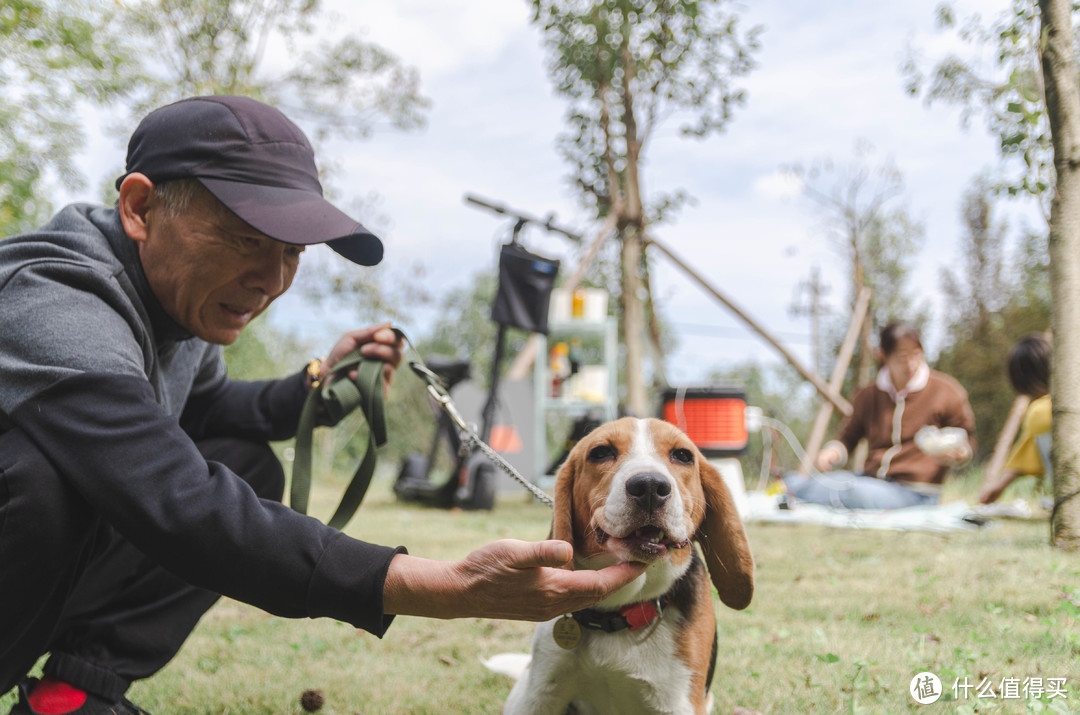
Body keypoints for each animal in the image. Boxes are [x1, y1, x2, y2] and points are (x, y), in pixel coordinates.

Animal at [501, 416, 756, 712]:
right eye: (600, 452)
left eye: (683, 455)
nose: (650, 487)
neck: (620, 610)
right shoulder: (541, 695)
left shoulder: (680, 703)